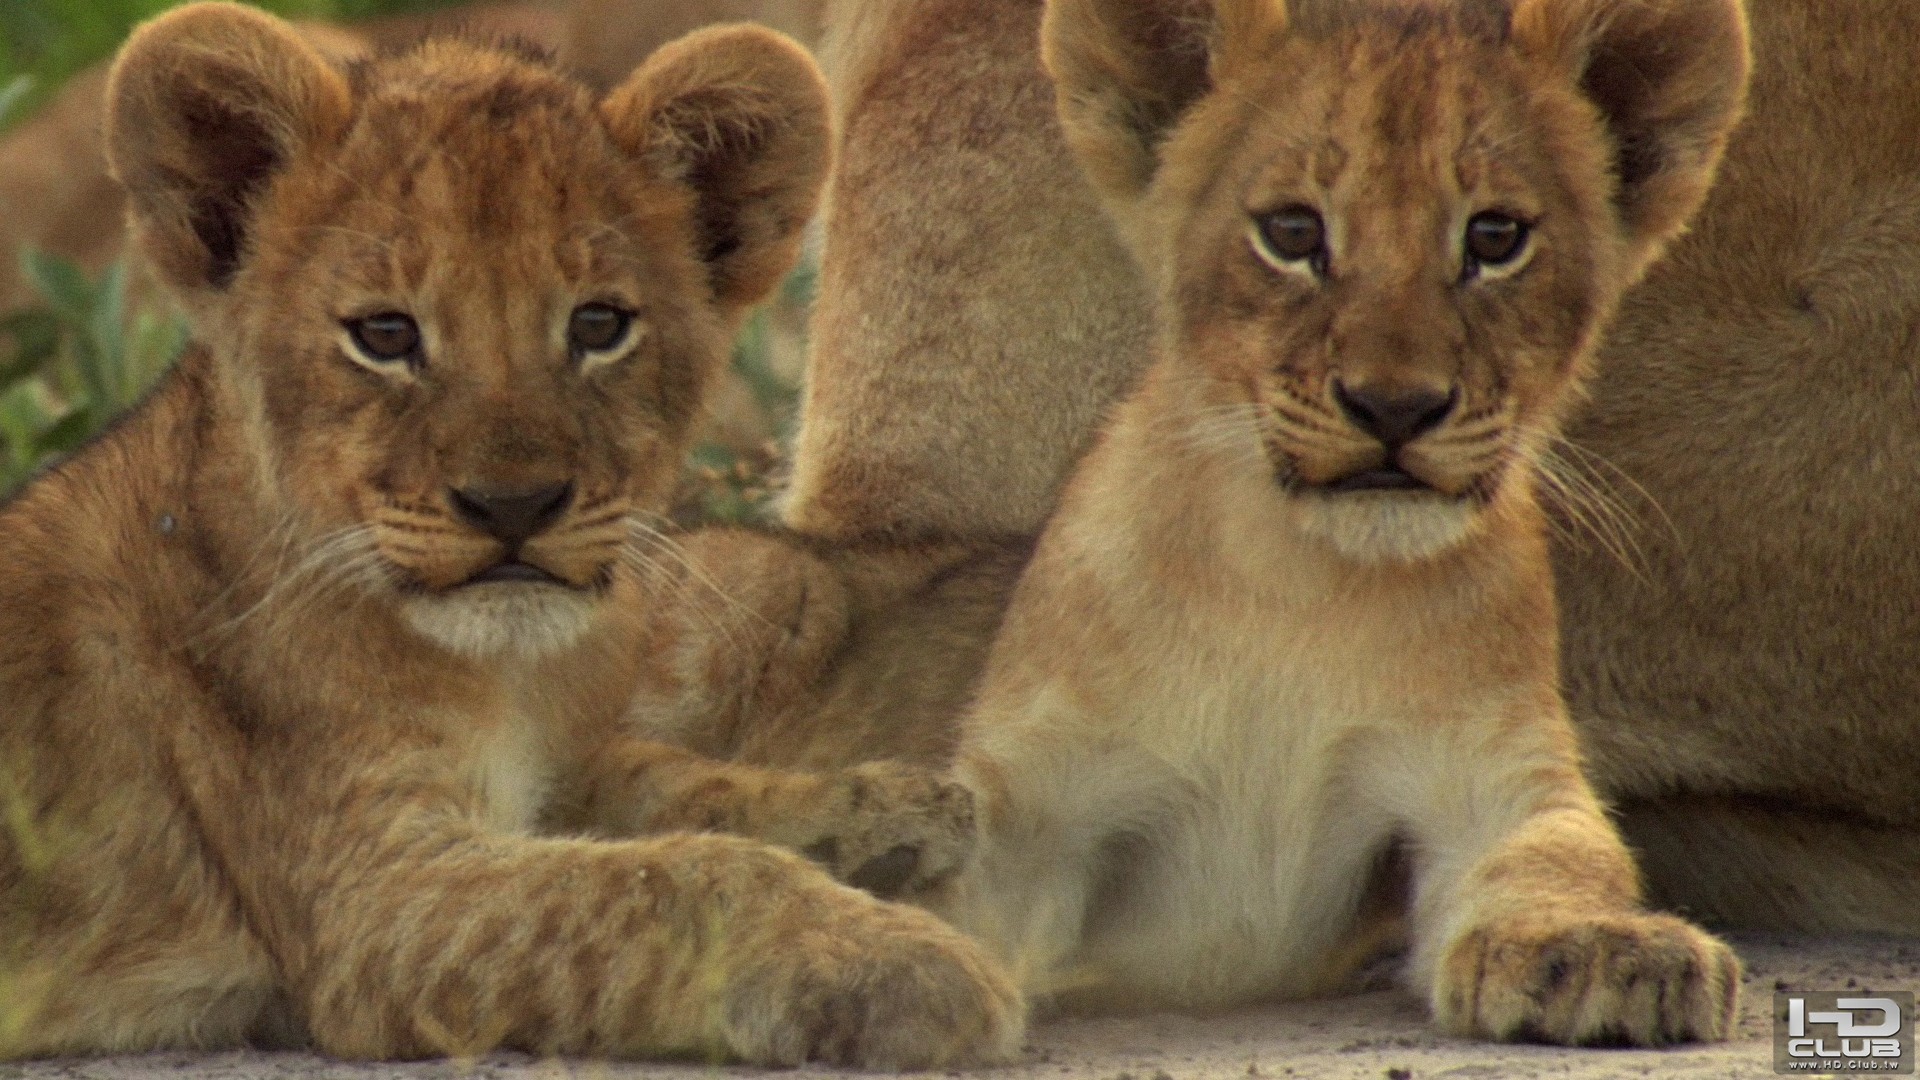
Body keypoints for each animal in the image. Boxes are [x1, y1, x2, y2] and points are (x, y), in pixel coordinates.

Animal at [0, 4, 1022, 1064]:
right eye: (385, 335)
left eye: (600, 325)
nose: (513, 506)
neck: (506, 672)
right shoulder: (374, 903)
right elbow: (667, 882)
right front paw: (904, 961)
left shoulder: (551, 774)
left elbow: (663, 782)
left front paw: (883, 807)